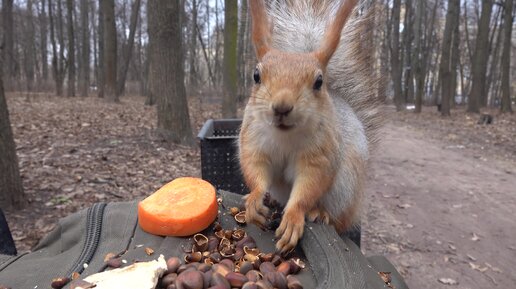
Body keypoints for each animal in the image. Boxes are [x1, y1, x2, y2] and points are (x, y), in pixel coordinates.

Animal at [240, 0, 380, 252]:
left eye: (318, 81)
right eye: (256, 75)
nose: (282, 107)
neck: (285, 136)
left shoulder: (320, 155)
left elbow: (309, 185)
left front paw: (293, 217)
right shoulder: (253, 140)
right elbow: (255, 169)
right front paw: (254, 200)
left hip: (345, 188)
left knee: (339, 220)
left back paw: (322, 213)